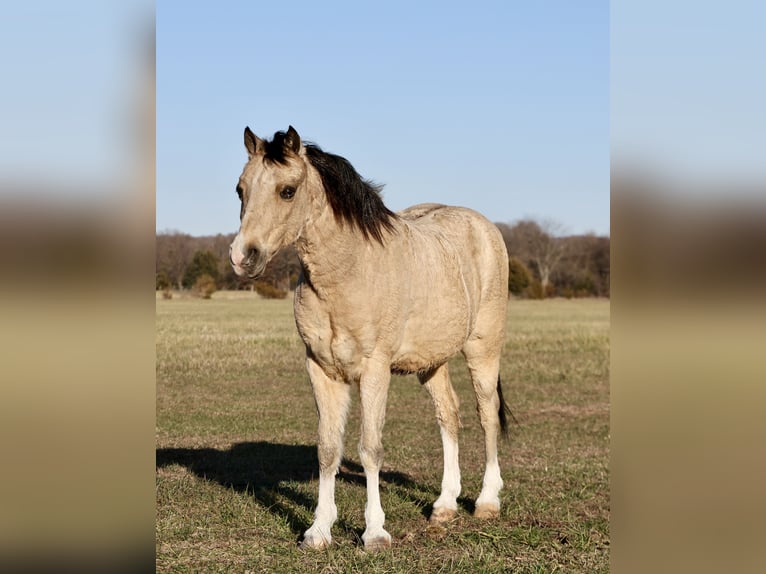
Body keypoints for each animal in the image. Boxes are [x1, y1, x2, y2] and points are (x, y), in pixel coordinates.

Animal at [231, 127, 512, 552]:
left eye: (287, 191)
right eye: (240, 189)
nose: (242, 256)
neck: (349, 271)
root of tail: (483, 227)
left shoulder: (374, 371)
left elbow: (370, 449)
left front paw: (375, 533)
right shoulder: (321, 370)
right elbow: (328, 449)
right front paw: (318, 531)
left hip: (483, 348)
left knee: (486, 414)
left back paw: (487, 502)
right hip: (433, 363)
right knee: (449, 415)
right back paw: (444, 506)